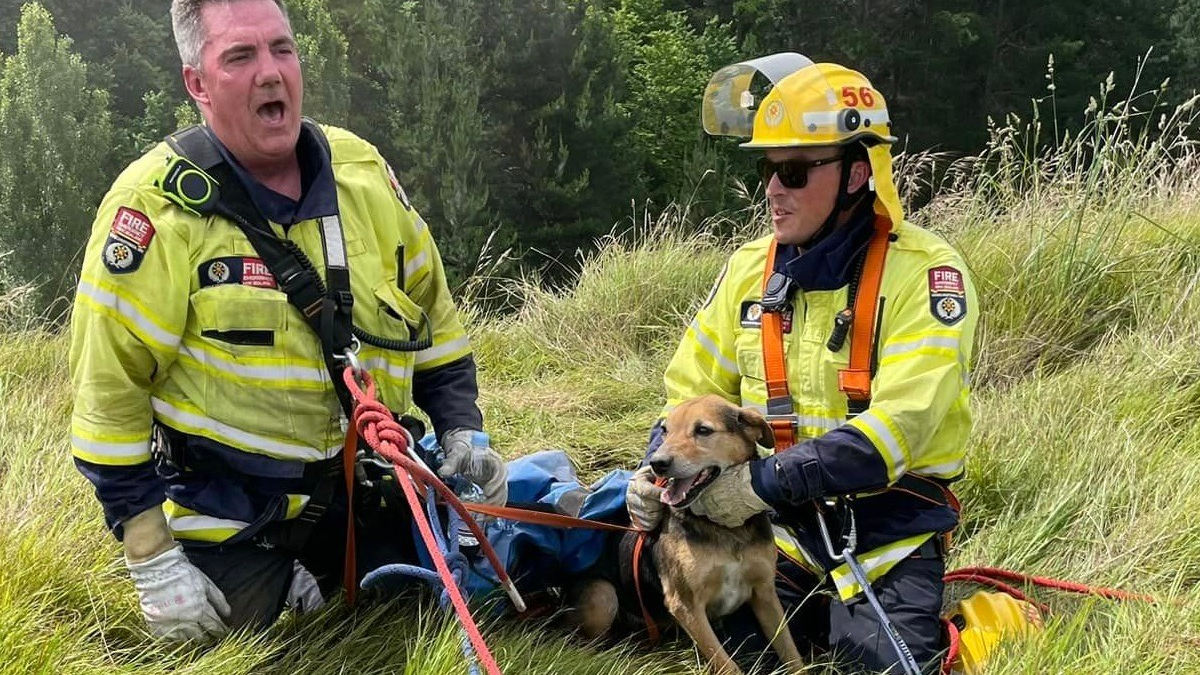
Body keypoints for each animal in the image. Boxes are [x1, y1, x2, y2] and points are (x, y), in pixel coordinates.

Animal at [571, 393, 806, 672]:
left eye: (703, 430)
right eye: (665, 430)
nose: (657, 464)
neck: (724, 529)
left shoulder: (765, 592)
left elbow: (790, 650)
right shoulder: (686, 605)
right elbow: (727, 665)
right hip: (602, 596)